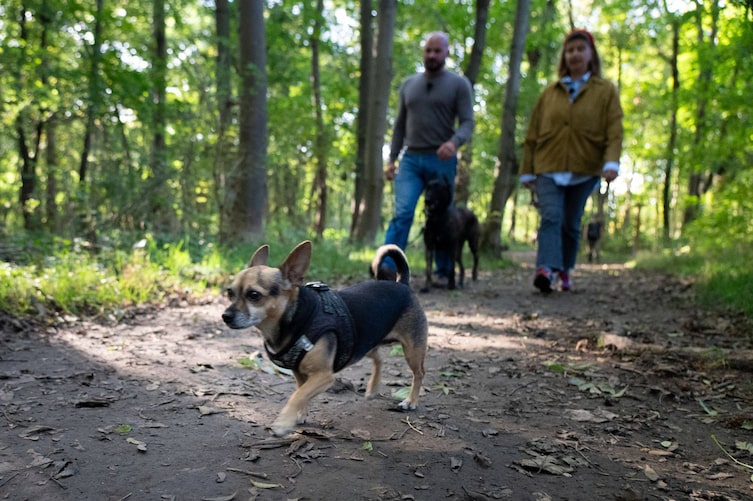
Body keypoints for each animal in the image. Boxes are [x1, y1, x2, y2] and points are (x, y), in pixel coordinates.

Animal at [220, 240, 426, 436]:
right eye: (230, 293)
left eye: (254, 295)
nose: (225, 316)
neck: (298, 318)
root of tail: (402, 283)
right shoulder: (300, 374)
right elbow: (301, 393)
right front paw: (300, 415)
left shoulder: (324, 376)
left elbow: (297, 395)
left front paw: (283, 422)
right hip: (362, 343)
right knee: (379, 358)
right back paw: (373, 389)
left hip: (412, 350)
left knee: (419, 373)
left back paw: (411, 401)